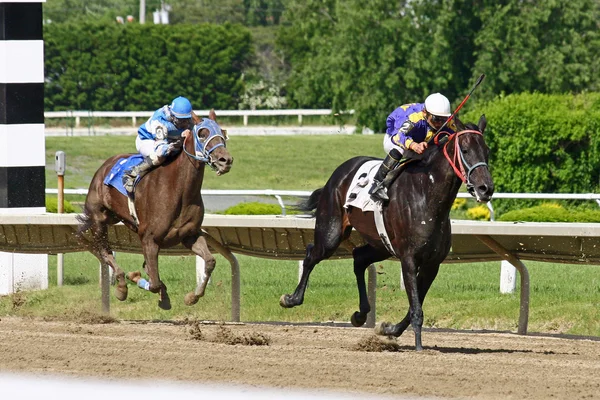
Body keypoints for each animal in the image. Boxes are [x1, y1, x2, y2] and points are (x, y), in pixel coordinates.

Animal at [75, 109, 234, 310]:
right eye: (202, 133)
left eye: (223, 132)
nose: (225, 160)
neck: (179, 189)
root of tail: (105, 165)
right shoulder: (149, 239)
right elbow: (154, 283)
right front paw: (145, 284)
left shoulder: (189, 234)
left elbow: (210, 261)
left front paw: (192, 296)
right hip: (99, 219)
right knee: (105, 252)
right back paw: (121, 287)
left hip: (118, 218)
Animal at [280, 115, 492, 350]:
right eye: (465, 149)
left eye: (487, 151)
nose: (486, 188)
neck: (427, 197)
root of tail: (341, 171)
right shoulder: (409, 259)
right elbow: (416, 307)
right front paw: (419, 347)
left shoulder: (432, 263)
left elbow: (414, 305)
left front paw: (390, 329)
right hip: (332, 232)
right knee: (312, 255)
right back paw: (291, 299)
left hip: (381, 244)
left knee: (359, 258)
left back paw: (361, 313)